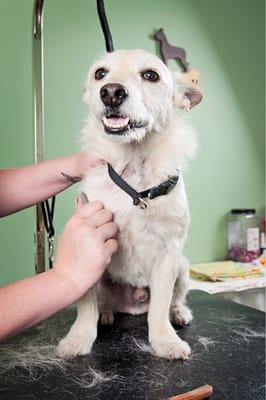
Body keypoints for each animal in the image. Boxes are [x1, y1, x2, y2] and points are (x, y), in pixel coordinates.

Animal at [57, 49, 202, 360]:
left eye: (151, 75)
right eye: (100, 73)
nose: (111, 92)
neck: (133, 177)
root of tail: (132, 304)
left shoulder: (168, 256)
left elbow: (159, 309)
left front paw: (164, 341)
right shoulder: (91, 255)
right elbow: (85, 307)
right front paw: (79, 339)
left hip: (182, 267)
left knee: (172, 300)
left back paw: (178, 312)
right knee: (102, 301)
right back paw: (107, 312)